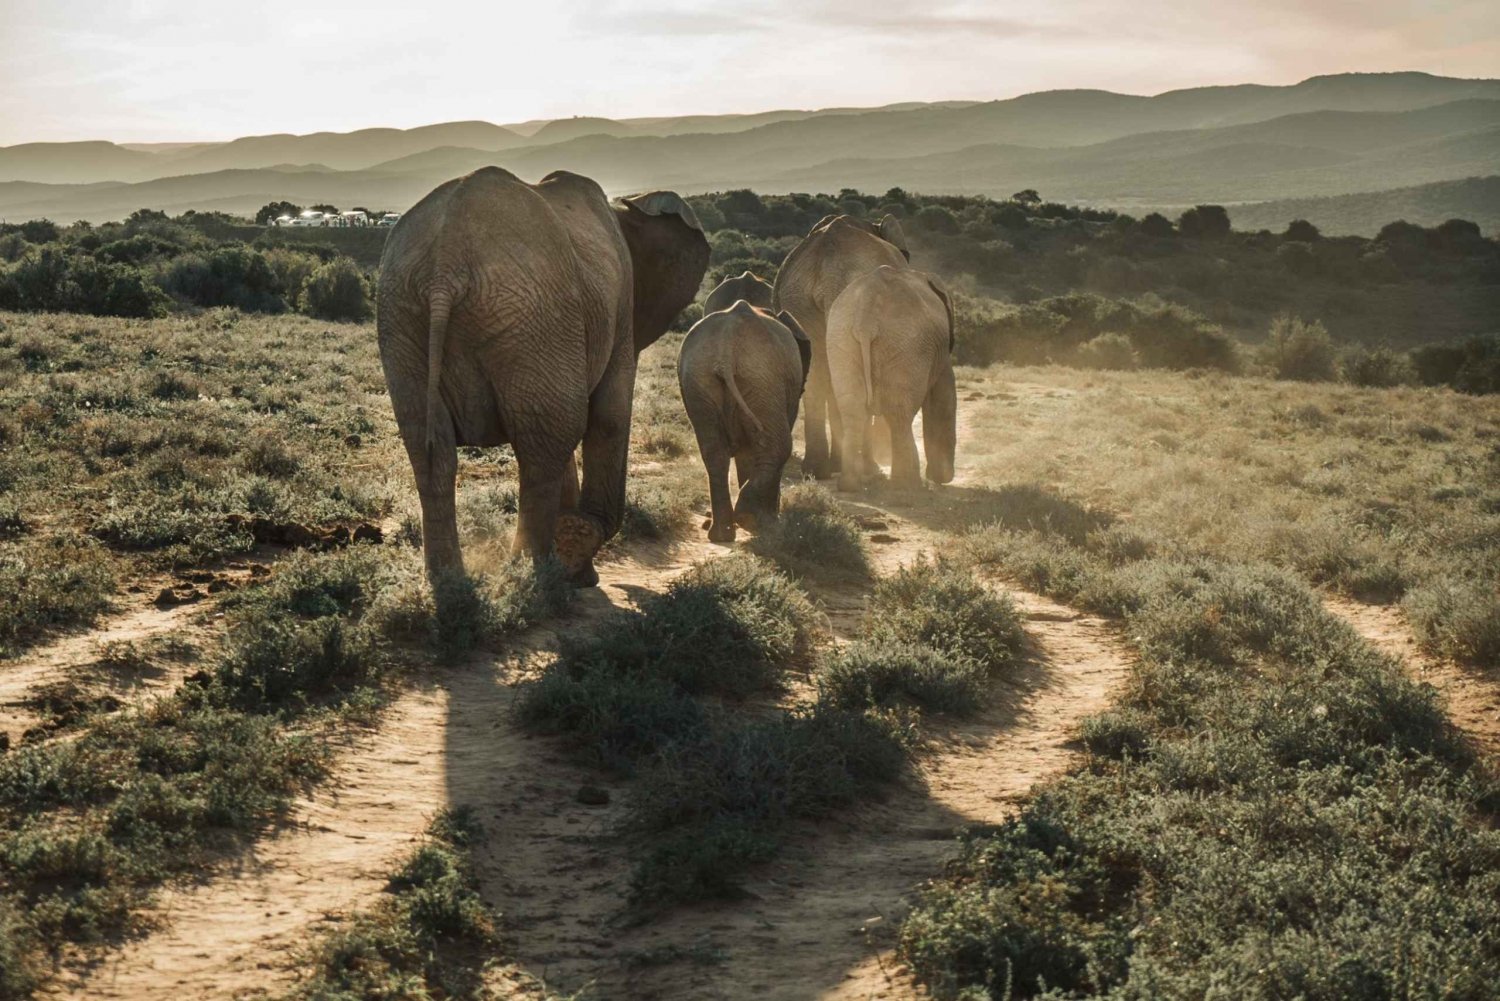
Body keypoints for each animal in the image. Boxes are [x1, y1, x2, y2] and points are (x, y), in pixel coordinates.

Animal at [372, 166, 705, 588]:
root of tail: (445, 264)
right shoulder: (619, 308)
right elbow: (608, 417)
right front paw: (578, 560)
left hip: (406, 316)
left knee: (432, 447)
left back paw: (450, 583)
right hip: (532, 316)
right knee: (547, 442)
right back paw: (532, 578)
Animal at [684, 301, 816, 543]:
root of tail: (725, 351)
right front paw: (770, 523)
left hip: (700, 380)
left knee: (714, 453)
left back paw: (722, 534)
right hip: (763, 379)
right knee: (778, 446)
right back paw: (749, 519)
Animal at [828, 262, 954, 489]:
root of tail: (866, 317)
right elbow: (943, 397)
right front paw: (941, 478)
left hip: (840, 340)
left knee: (853, 408)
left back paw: (850, 485)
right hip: (908, 345)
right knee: (899, 413)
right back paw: (907, 484)